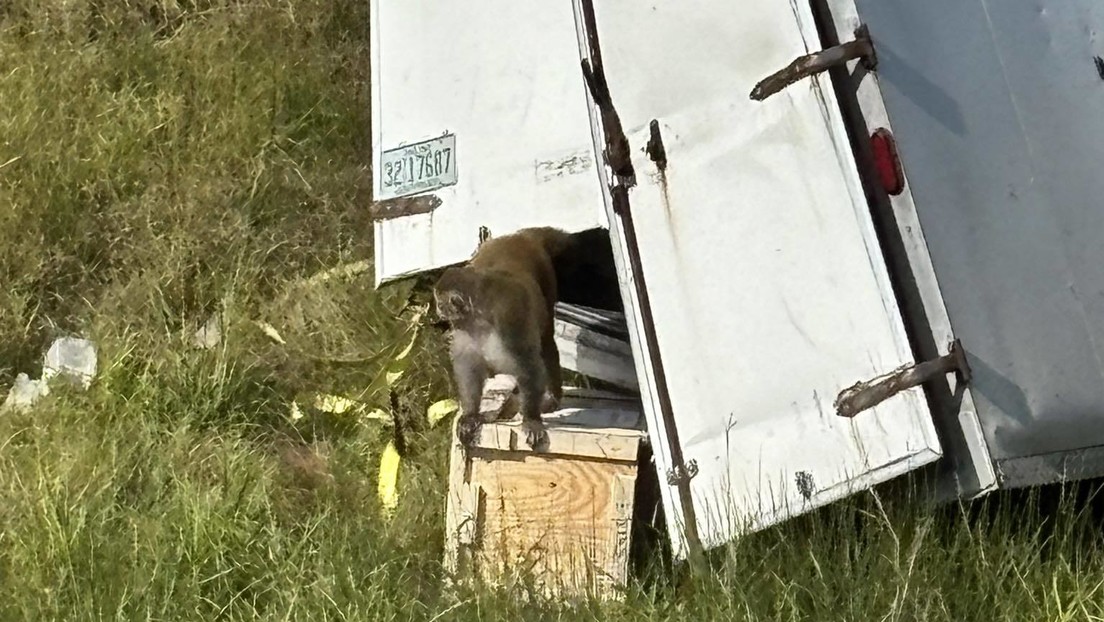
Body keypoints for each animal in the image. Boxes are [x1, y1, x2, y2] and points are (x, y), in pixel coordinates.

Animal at [434, 227, 576, 450]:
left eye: (440, 303)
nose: (438, 310)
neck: (480, 317)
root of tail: (519, 236)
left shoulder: (509, 318)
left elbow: (528, 364)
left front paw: (531, 419)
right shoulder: (464, 329)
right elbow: (469, 368)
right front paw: (471, 414)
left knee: (546, 341)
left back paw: (552, 397)